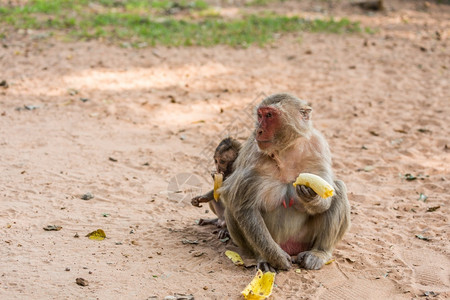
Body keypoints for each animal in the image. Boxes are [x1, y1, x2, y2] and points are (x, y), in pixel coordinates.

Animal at [220, 94, 350, 272]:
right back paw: (263, 257)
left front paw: (312, 198)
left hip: (305, 240)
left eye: (269, 115)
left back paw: (319, 252)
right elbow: (244, 206)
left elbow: (327, 197)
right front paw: (276, 257)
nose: (258, 130)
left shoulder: (318, 146)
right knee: (232, 203)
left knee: (339, 189)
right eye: (260, 115)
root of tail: (291, 247)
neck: (286, 149)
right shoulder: (253, 155)